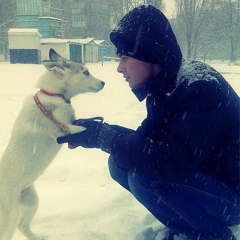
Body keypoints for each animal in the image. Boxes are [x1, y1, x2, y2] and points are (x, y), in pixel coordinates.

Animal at [0, 49, 105, 240]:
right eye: (86, 72)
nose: (103, 83)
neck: (53, 94)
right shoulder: (65, 130)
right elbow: (84, 128)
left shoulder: (71, 122)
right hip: (8, 217)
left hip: (31, 201)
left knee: (23, 226)